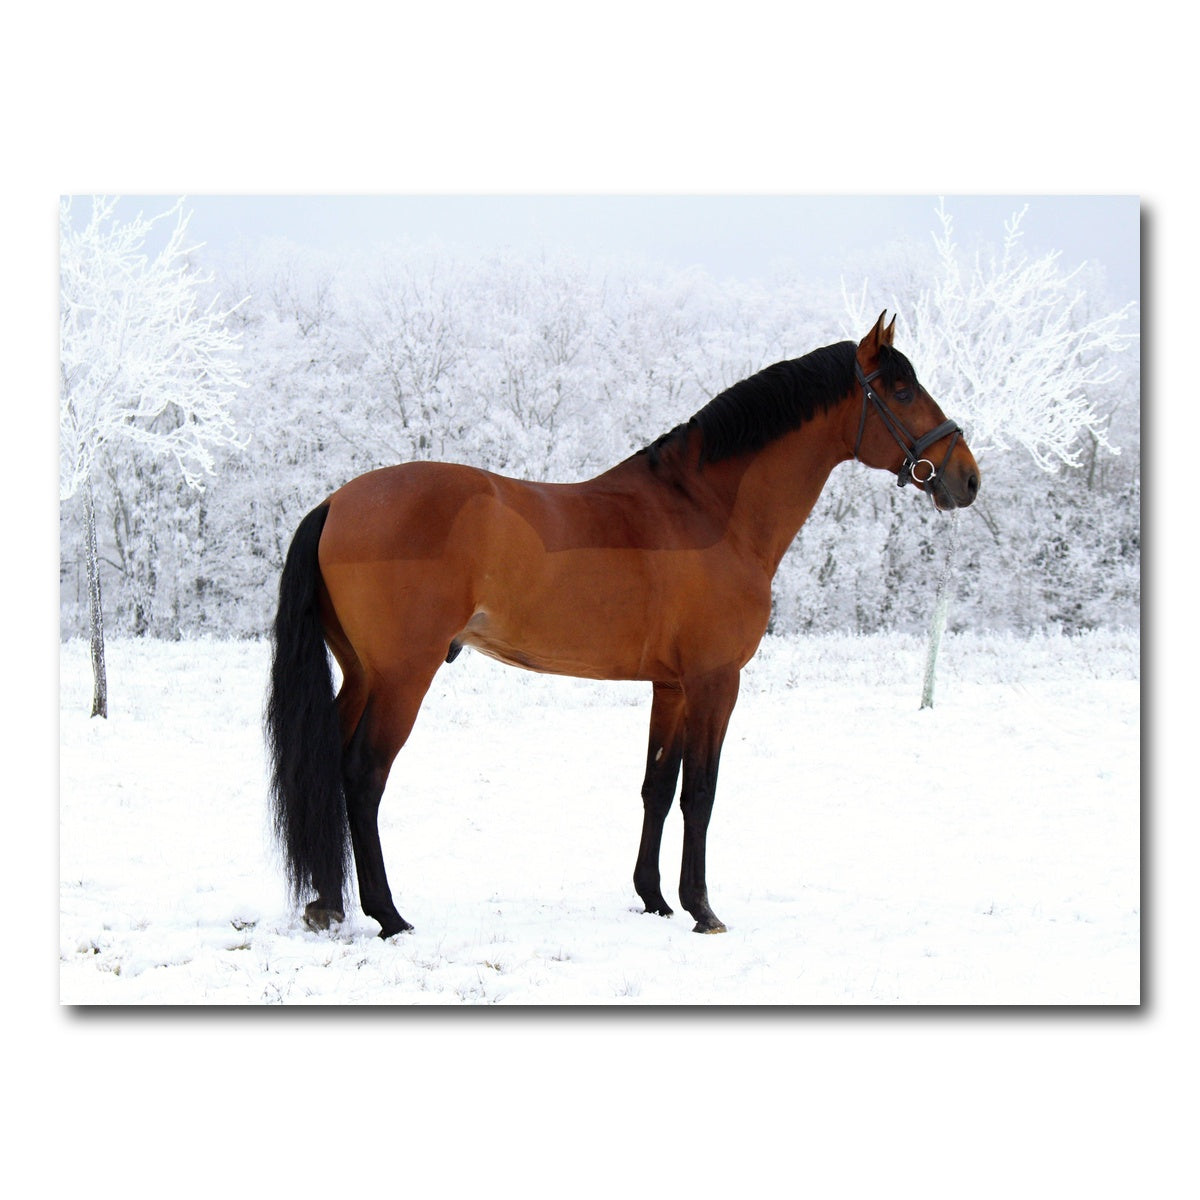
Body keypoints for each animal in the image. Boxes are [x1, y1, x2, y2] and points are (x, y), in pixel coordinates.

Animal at [266, 312, 979, 937]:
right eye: (900, 389)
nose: (966, 478)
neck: (706, 511)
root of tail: (335, 503)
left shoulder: (672, 686)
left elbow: (657, 787)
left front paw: (655, 899)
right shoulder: (716, 681)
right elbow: (701, 792)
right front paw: (702, 909)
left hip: (361, 673)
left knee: (326, 765)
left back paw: (327, 903)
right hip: (402, 677)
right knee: (363, 774)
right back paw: (387, 915)